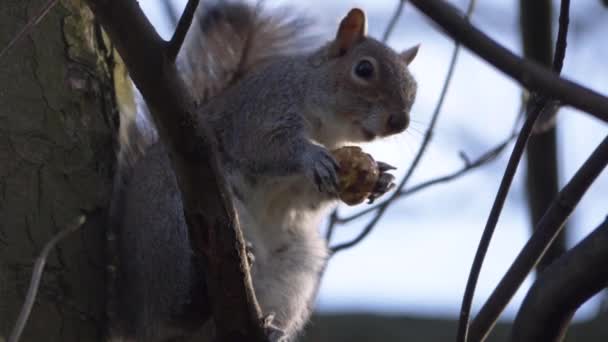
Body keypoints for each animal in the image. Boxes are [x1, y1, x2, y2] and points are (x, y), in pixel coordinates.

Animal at [108, 1, 418, 340]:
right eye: (364, 69)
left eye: (414, 87)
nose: (400, 121)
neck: (326, 129)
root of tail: (137, 317)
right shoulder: (260, 110)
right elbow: (266, 145)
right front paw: (311, 156)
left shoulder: (301, 185)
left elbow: (309, 196)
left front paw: (381, 178)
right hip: (172, 228)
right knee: (175, 312)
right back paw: (196, 298)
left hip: (295, 267)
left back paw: (271, 330)